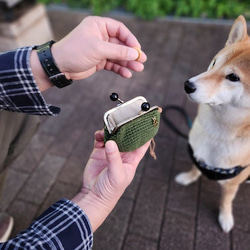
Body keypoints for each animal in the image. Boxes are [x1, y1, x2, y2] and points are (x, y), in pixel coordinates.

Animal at [175, 15, 250, 233]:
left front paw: (225, 217)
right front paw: (187, 178)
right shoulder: (198, 153)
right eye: (215, 62)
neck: (217, 133)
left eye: (233, 77)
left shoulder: (232, 184)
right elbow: (195, 167)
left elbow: (226, 200)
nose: (187, 85)